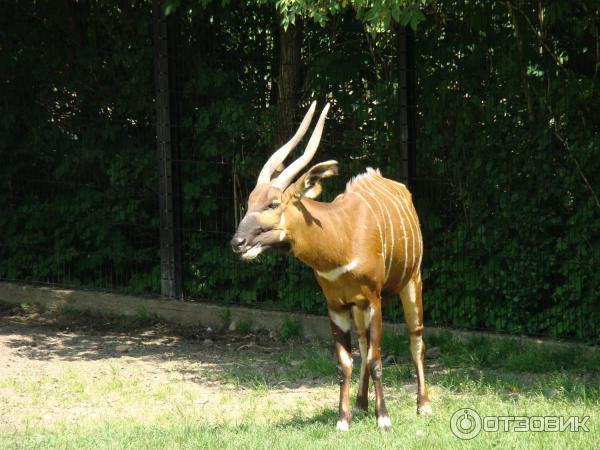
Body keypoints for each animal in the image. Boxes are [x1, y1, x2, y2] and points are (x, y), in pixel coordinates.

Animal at [231, 103, 432, 432]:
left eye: (273, 204)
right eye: (249, 202)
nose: (238, 242)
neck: (342, 237)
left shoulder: (374, 298)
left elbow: (377, 358)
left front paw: (384, 419)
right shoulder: (336, 304)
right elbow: (344, 362)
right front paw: (343, 419)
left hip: (411, 282)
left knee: (415, 338)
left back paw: (423, 405)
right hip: (358, 307)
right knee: (362, 343)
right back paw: (361, 405)